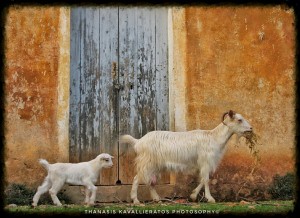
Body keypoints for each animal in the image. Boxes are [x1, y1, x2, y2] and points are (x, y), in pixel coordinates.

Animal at [120, 110, 252, 204]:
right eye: (239, 120)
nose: (251, 128)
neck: (214, 137)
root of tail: (138, 141)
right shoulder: (206, 161)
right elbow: (206, 180)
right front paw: (210, 198)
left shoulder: (202, 164)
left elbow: (202, 179)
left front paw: (193, 196)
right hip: (147, 163)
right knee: (137, 178)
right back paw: (136, 200)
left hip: (156, 165)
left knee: (151, 182)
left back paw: (156, 199)